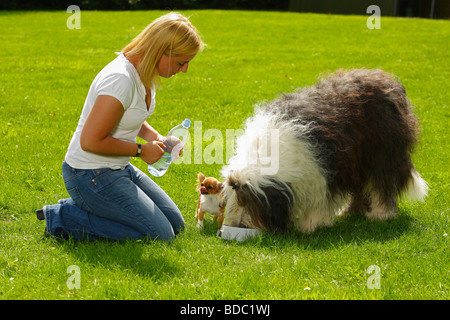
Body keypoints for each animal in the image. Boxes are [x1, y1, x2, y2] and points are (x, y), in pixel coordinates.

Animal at [223, 69, 428, 232]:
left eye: (248, 201)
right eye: (233, 196)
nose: (236, 225)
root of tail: (386, 80)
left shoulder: (321, 172)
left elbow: (319, 200)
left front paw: (309, 224)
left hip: (383, 152)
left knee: (383, 183)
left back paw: (381, 214)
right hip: (358, 160)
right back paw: (351, 211)